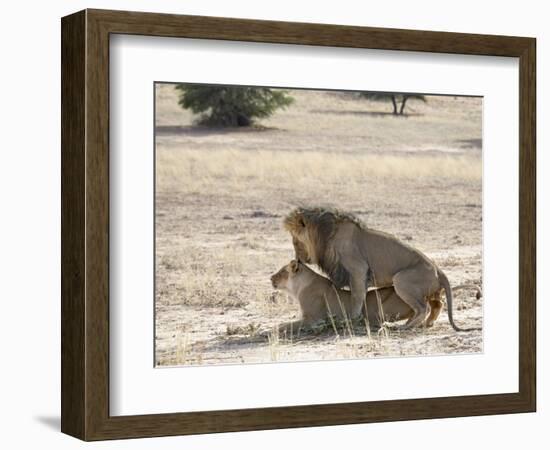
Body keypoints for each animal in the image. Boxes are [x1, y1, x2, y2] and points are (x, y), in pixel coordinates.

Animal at [272, 260, 484, 334]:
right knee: (435, 303)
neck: (299, 287)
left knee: (424, 306)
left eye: (281, 272)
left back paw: (400, 326)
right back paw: (424, 323)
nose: (270, 278)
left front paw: (273, 329)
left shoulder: (313, 318)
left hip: (397, 292)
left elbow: (285, 325)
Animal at [286, 207, 480, 330]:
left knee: (423, 307)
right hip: (427, 289)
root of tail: (438, 269)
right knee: (438, 304)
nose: (298, 258)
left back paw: (405, 327)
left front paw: (351, 320)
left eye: (295, 241)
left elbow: (356, 297)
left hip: (400, 279)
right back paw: (426, 324)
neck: (325, 235)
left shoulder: (358, 269)